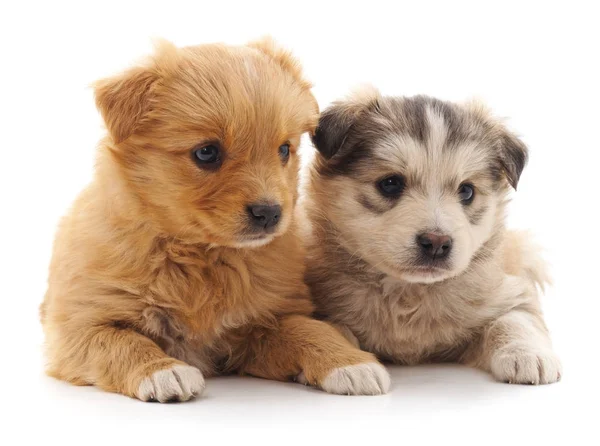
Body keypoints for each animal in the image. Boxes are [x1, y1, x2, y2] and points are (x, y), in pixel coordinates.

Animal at [42, 40, 390, 400]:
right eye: (206, 152)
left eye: (283, 150)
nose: (270, 213)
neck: (202, 256)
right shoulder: (79, 326)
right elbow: (122, 341)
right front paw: (163, 371)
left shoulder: (266, 321)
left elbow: (308, 329)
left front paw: (350, 362)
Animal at [304, 89, 564, 386]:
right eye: (390, 184)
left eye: (467, 191)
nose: (437, 243)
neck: (409, 293)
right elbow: (328, 329)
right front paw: (348, 364)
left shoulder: (512, 292)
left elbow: (514, 320)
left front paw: (528, 354)